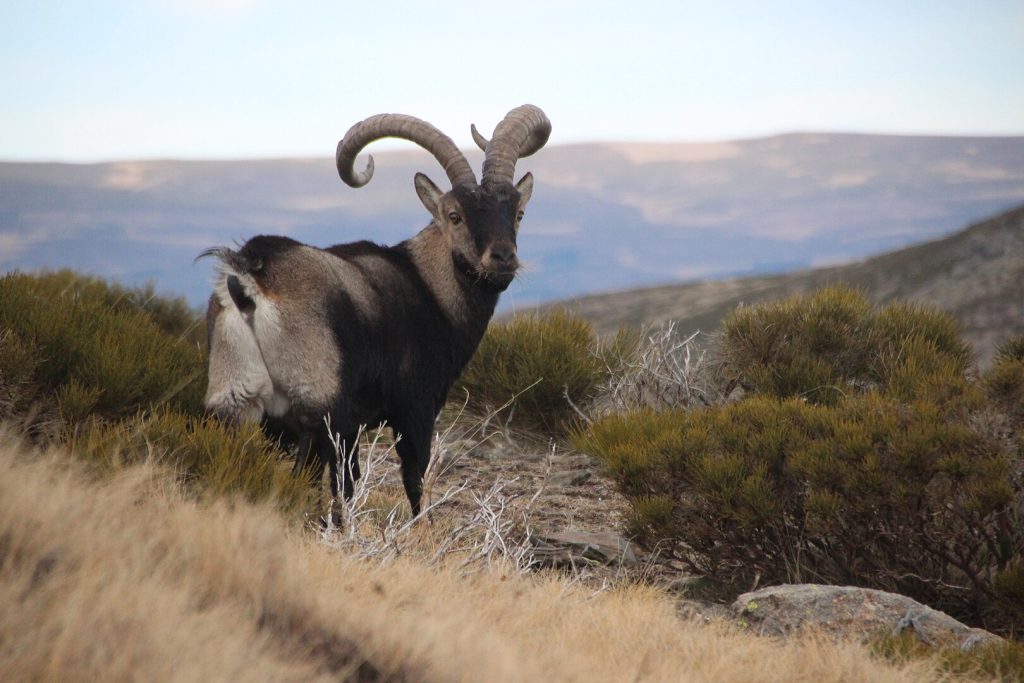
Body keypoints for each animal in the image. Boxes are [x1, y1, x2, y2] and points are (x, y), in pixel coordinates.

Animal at [201, 105, 551, 516]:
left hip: (235, 402)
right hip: (321, 408)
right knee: (323, 482)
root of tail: (250, 279)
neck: (429, 284)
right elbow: (413, 481)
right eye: (455, 215)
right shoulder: (415, 409)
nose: (502, 258)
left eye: (518, 213)